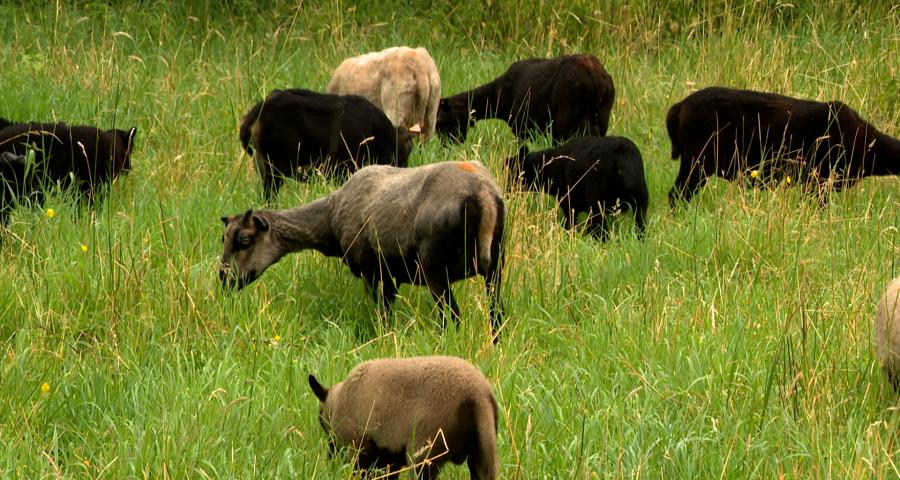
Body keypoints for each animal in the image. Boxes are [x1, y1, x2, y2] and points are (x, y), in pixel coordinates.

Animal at [219, 160, 505, 337]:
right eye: (223, 238)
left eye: (245, 240)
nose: (224, 279)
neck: (330, 218)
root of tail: (483, 193)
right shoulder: (390, 275)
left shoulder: (371, 271)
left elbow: (382, 314)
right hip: (495, 266)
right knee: (497, 315)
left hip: (435, 268)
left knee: (452, 317)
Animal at [308, 355, 499, 479]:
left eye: (319, 419)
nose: (330, 457)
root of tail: (478, 395)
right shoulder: (389, 458)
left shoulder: (359, 450)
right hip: (482, 454)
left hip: (424, 455)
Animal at [436, 54, 615, 143]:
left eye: (442, 123)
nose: (446, 148)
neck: (496, 96)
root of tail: (597, 80)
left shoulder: (522, 127)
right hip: (600, 119)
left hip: (568, 121)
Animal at [505, 136, 648, 240]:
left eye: (512, 173)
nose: (505, 191)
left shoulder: (568, 203)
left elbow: (569, 225)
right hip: (641, 200)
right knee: (640, 227)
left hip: (597, 203)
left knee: (600, 231)